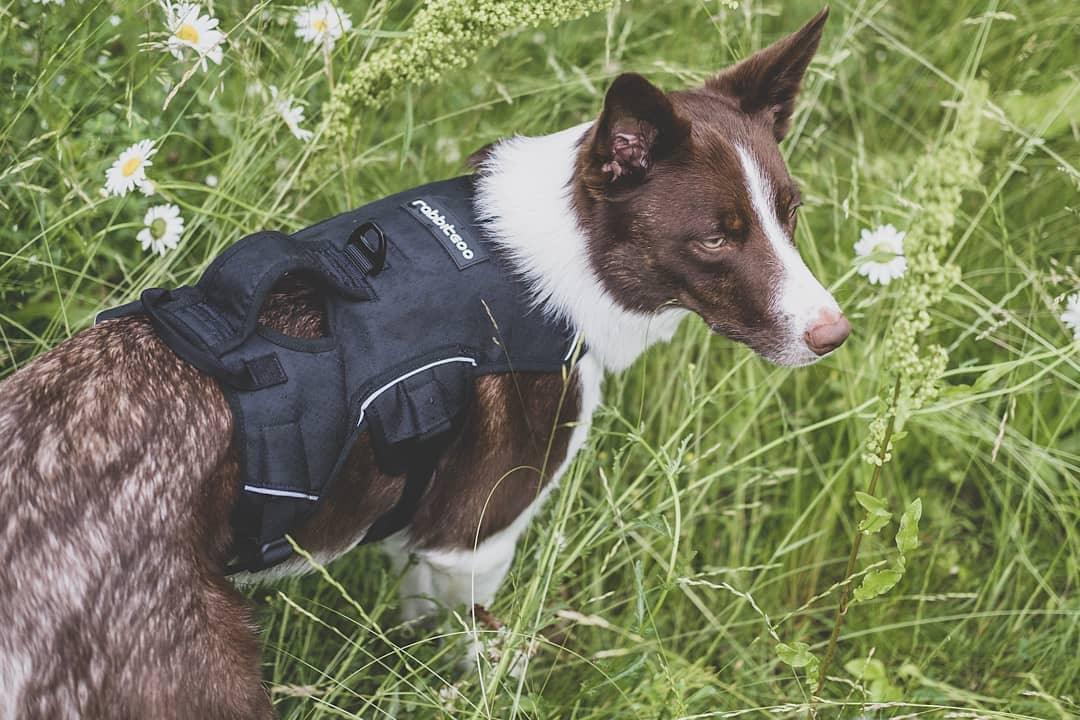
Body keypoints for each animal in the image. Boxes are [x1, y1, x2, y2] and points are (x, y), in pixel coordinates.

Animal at [0, 8, 842, 716]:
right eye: (717, 237)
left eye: (790, 211)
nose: (835, 334)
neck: (564, 256)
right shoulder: (471, 542)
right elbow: (474, 645)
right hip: (207, 677)